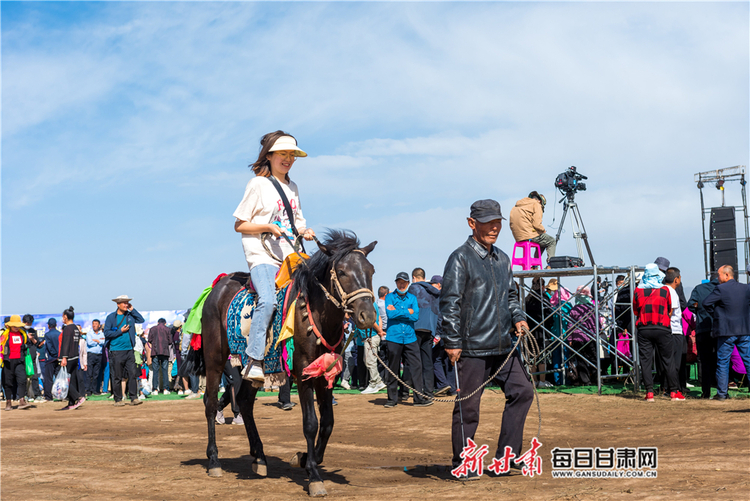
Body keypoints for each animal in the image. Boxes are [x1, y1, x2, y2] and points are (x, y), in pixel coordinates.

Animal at [192, 231, 376, 496]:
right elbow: (311, 423)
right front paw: (314, 476)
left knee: (245, 402)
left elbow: (328, 423)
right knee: (210, 403)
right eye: (342, 272)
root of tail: (217, 287)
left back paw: (259, 457)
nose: (368, 316)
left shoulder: (326, 373)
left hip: (251, 367)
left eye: (371, 270)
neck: (315, 314)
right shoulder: (304, 372)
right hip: (215, 359)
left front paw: (306, 459)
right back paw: (214, 460)